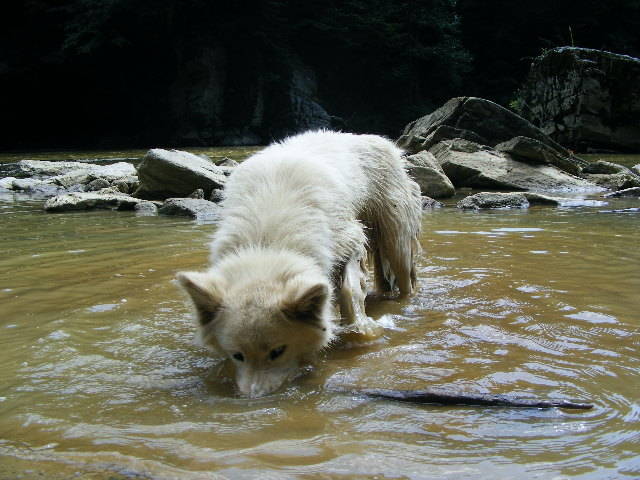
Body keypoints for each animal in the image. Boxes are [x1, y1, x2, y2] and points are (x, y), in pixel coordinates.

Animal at [178, 129, 422, 396]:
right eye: (237, 355)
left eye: (277, 351)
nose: (254, 397)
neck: (268, 243)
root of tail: (376, 139)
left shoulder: (349, 240)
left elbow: (350, 290)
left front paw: (360, 330)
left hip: (394, 237)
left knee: (405, 279)